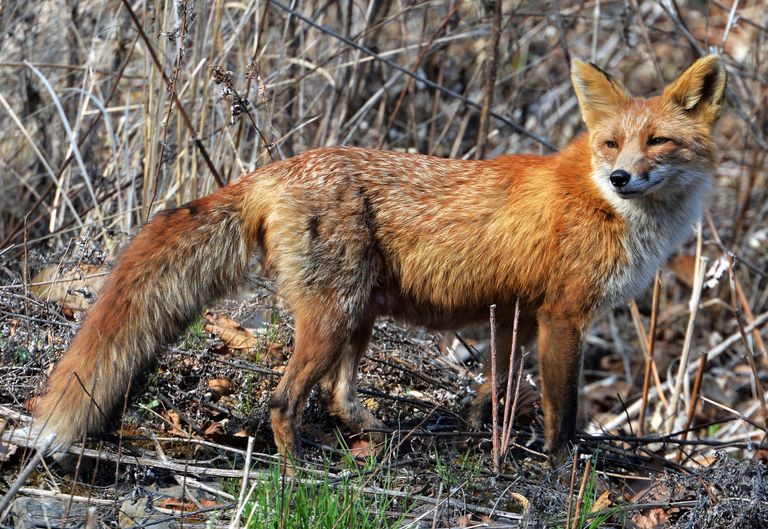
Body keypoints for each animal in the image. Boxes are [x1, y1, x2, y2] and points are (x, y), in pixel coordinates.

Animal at [29, 55, 726, 463]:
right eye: (611, 143)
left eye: (657, 141)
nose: (622, 177)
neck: (605, 206)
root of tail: (278, 169)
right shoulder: (564, 316)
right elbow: (564, 414)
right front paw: (562, 478)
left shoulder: (516, 317)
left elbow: (493, 393)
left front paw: (481, 448)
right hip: (335, 315)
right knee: (283, 401)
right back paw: (296, 475)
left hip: (357, 315)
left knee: (337, 397)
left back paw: (373, 439)